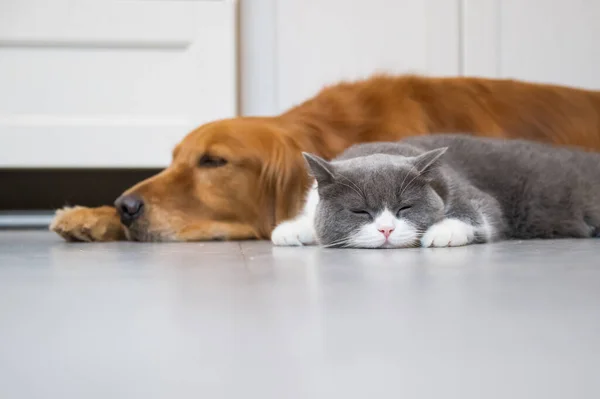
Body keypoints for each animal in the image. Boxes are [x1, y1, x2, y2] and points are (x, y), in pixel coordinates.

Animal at [270, 133, 600, 248]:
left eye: (405, 207)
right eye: (359, 211)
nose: (386, 230)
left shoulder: (467, 191)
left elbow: (479, 211)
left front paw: (443, 231)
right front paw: (291, 230)